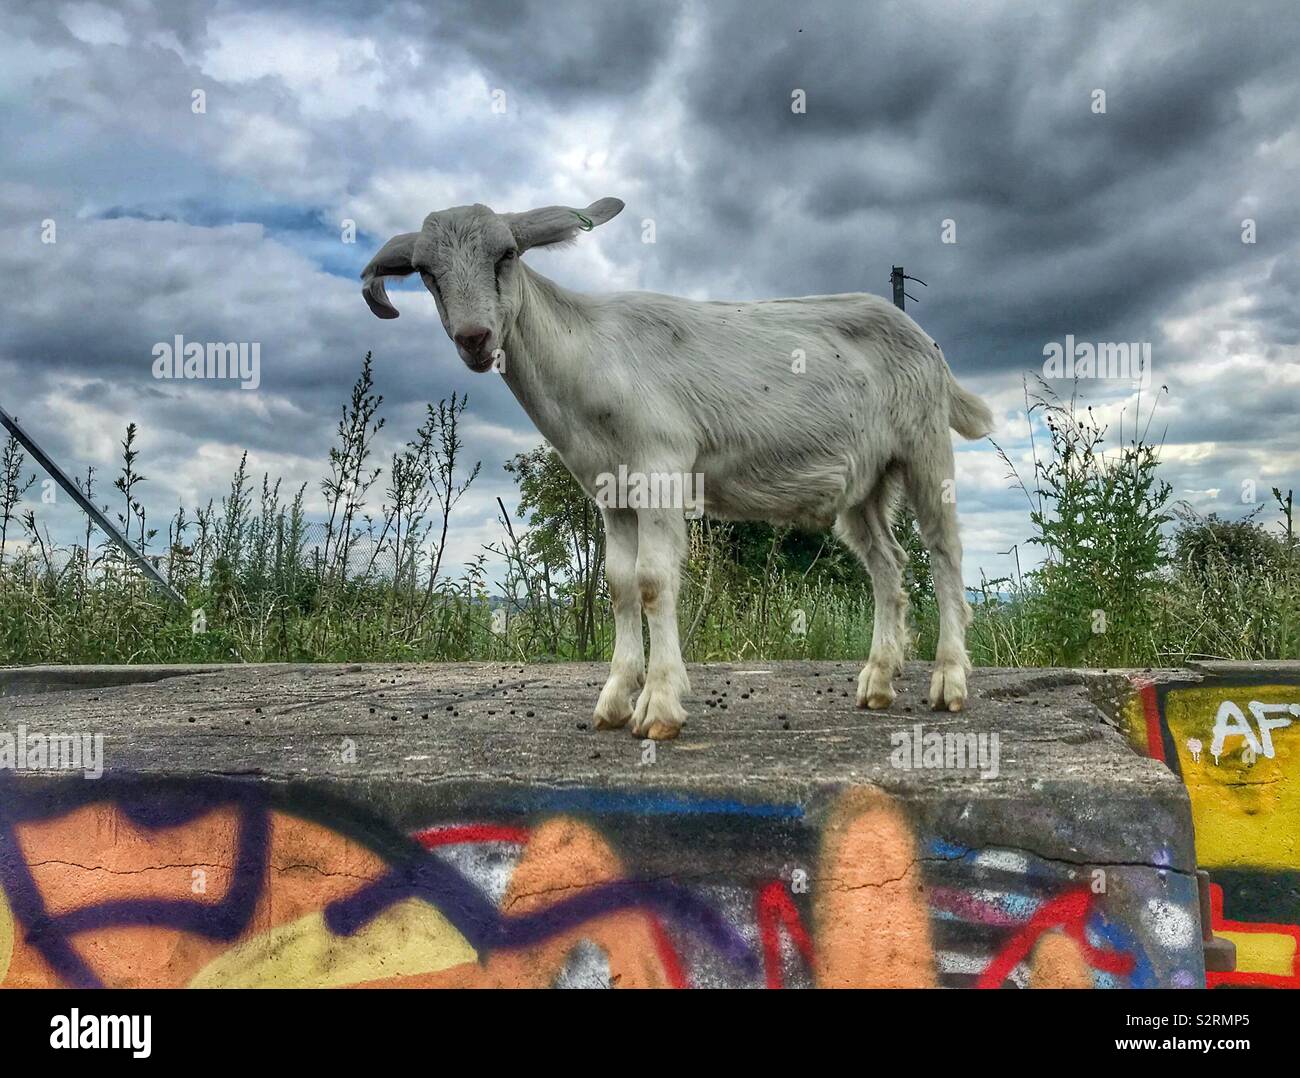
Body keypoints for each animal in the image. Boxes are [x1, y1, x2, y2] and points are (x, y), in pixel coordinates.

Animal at [361, 197, 987, 738]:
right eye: (425, 273)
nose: (474, 338)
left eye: (507, 254)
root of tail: (925, 343)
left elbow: (653, 581)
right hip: (865, 481)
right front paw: (615, 698)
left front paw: (659, 704)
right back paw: (877, 681)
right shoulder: (610, 491)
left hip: (925, 446)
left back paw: (949, 679)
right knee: (888, 563)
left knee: (943, 549)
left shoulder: (660, 467)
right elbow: (618, 586)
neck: (586, 357)